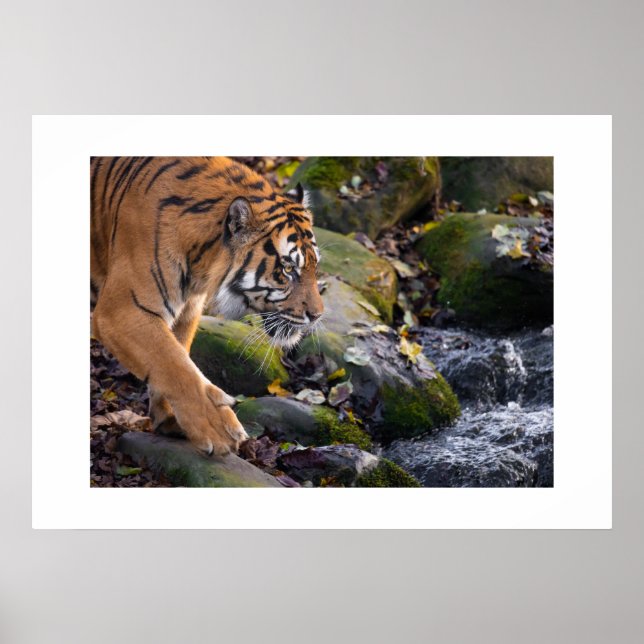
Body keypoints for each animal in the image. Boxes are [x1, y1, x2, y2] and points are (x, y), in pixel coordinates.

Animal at [90, 156, 324, 456]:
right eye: (288, 269)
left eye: (314, 266)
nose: (317, 315)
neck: (201, 260)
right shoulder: (122, 312)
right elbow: (175, 366)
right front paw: (219, 429)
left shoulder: (187, 309)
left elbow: (177, 354)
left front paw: (170, 419)